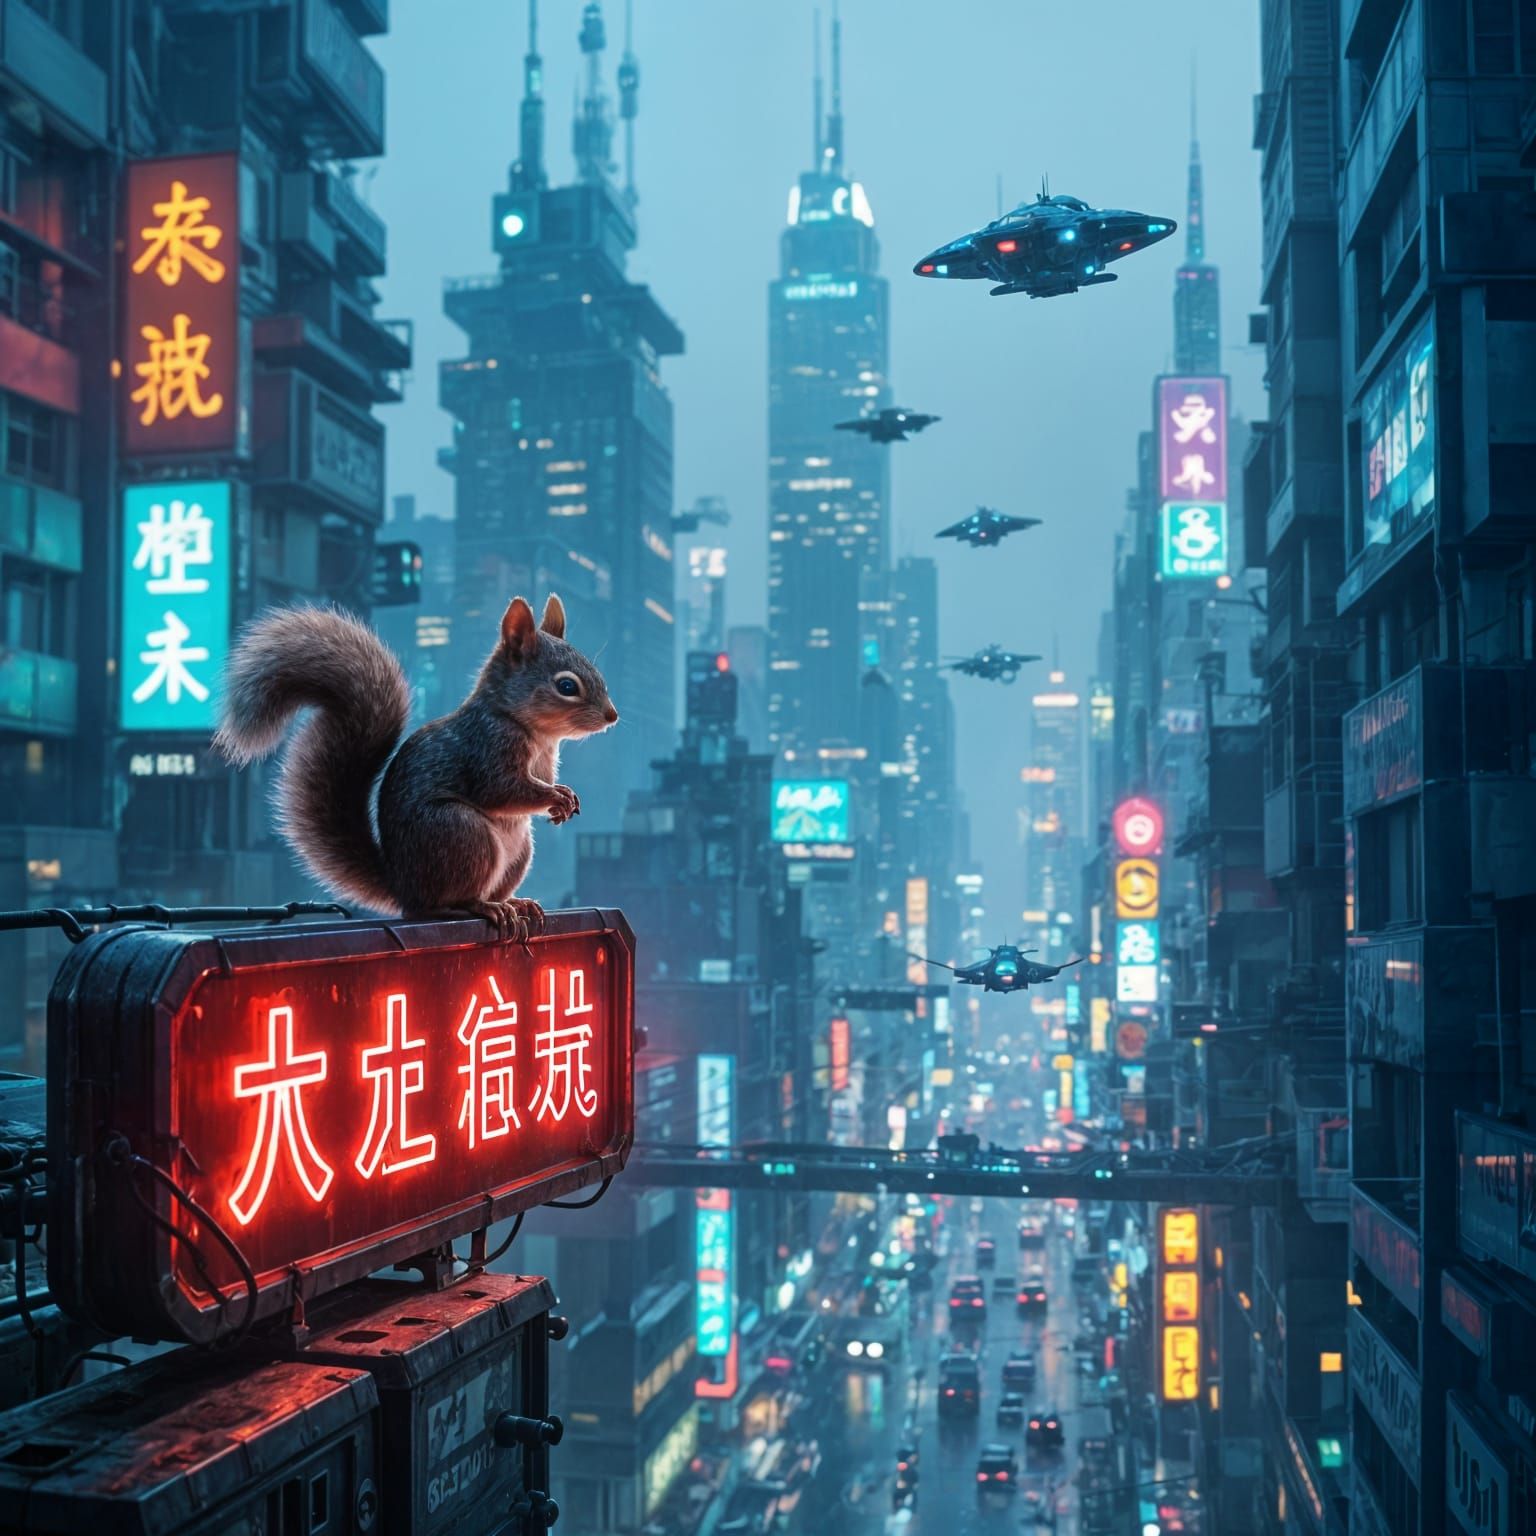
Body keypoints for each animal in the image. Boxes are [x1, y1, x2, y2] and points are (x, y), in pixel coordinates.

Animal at [212, 594, 617, 939]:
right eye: (567, 686)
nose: (612, 716)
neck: (531, 729)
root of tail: (403, 885)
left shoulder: (544, 760)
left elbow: (538, 784)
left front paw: (560, 799)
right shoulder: (488, 746)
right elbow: (501, 790)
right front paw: (556, 798)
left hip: (517, 851)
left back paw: (513, 903)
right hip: (460, 832)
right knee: (431, 908)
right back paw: (477, 907)